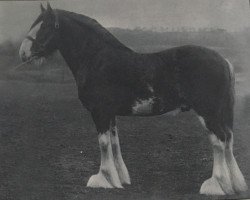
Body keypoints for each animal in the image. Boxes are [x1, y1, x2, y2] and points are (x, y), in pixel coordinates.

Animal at [18, 2, 247, 195]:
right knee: (228, 141)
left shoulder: (100, 112)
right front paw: (119, 179)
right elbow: (114, 142)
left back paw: (216, 185)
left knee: (219, 142)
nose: (23, 53)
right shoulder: (110, 113)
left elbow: (103, 143)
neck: (97, 59)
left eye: (45, 27)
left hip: (207, 112)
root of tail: (224, 60)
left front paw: (103, 179)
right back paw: (236, 184)